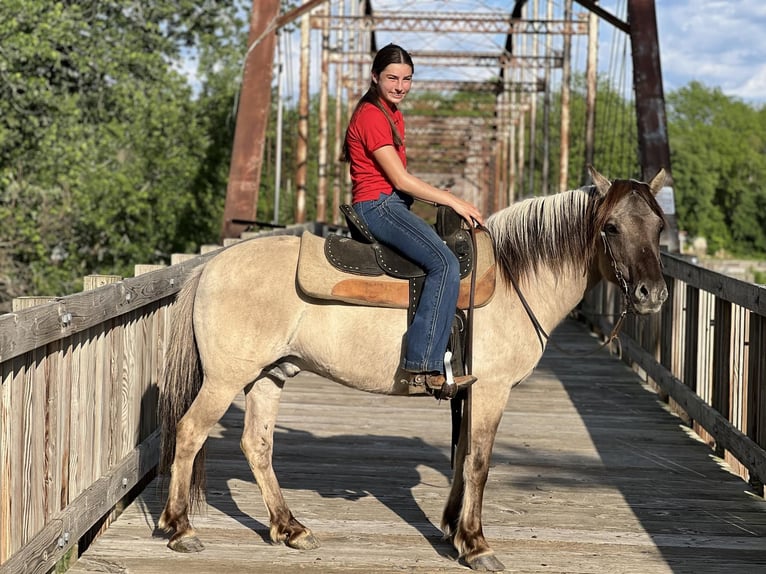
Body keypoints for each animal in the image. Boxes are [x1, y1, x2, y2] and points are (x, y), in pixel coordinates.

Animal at [159, 166, 668, 572]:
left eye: (660, 226)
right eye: (611, 227)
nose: (652, 294)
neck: (513, 277)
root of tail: (209, 269)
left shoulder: (469, 391)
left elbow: (461, 457)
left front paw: (454, 530)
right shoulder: (491, 390)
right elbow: (479, 461)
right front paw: (477, 544)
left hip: (269, 375)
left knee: (257, 445)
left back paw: (289, 527)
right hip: (225, 379)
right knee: (190, 432)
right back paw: (181, 528)